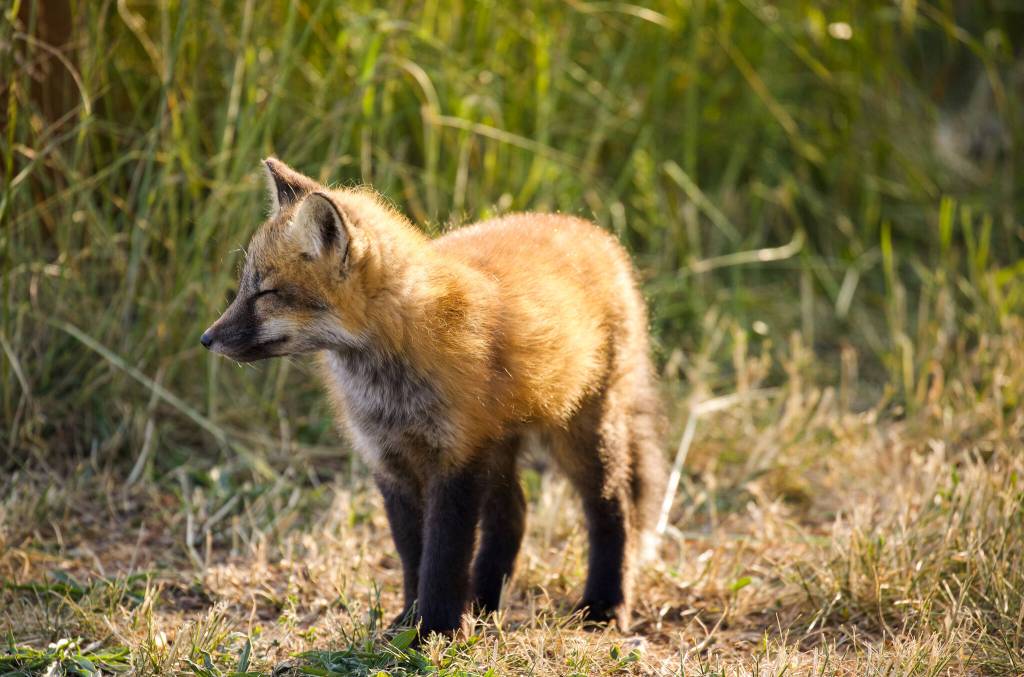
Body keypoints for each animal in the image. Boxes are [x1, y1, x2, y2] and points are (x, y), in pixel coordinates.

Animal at [201, 158, 665, 637]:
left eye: (267, 293)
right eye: (245, 287)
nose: (206, 339)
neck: (390, 380)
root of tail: (597, 234)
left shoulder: (456, 458)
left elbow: (443, 555)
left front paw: (435, 630)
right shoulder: (390, 462)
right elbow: (413, 554)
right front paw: (410, 621)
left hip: (580, 435)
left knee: (612, 509)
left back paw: (604, 604)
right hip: (500, 446)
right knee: (514, 514)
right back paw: (483, 603)